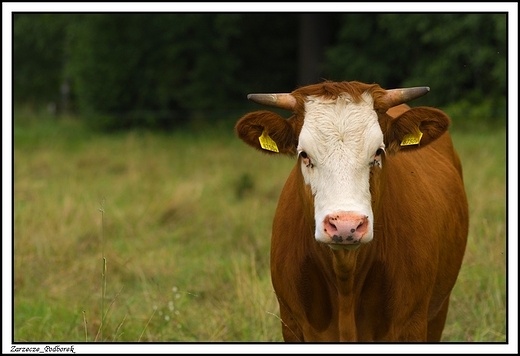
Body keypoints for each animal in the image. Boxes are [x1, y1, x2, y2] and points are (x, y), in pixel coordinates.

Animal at [234, 80, 470, 342]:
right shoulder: (291, 323)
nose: (346, 225)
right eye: (304, 154)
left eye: (378, 152)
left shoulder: (414, 323)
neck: (345, 279)